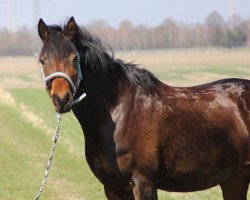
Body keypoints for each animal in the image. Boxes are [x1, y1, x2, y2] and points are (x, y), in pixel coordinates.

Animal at [37, 17, 250, 200]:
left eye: (74, 58)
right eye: (42, 60)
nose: (61, 98)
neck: (119, 113)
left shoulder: (143, 182)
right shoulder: (113, 188)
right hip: (235, 178)